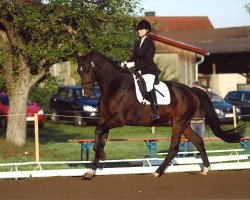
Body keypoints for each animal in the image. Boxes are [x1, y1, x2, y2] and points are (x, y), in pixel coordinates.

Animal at [77, 51, 245, 180]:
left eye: (87, 69)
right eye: (79, 70)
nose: (86, 93)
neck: (113, 86)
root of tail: (191, 91)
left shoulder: (118, 119)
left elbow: (98, 131)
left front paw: (100, 153)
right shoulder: (105, 119)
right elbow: (101, 137)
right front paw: (90, 171)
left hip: (178, 122)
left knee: (174, 147)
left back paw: (157, 172)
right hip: (183, 123)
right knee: (198, 140)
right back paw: (206, 169)